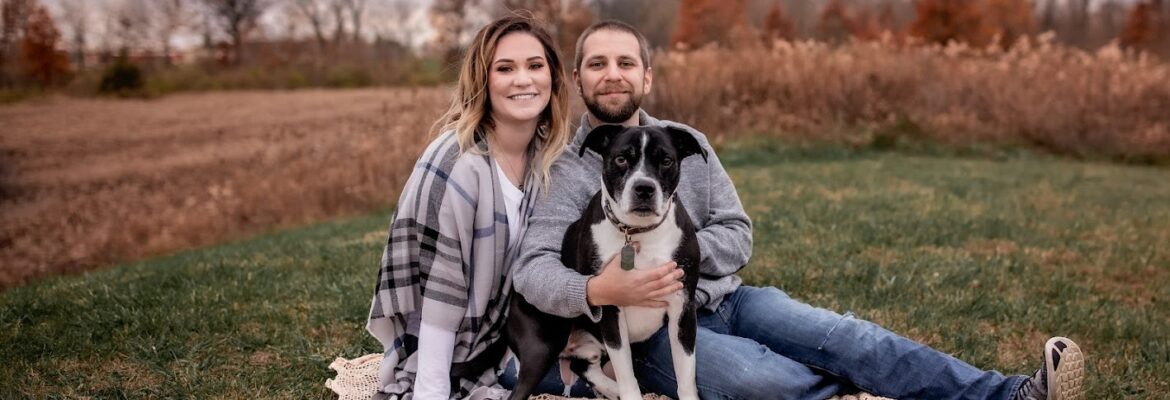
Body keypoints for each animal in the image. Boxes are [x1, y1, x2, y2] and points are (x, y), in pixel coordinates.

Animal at [503, 125, 702, 399]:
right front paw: (629, 392)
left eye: (666, 161)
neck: (637, 232)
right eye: (621, 159)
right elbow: (627, 377)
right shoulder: (610, 308)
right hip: (541, 346)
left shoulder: (683, 309)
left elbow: (685, 376)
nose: (644, 188)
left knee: (582, 366)